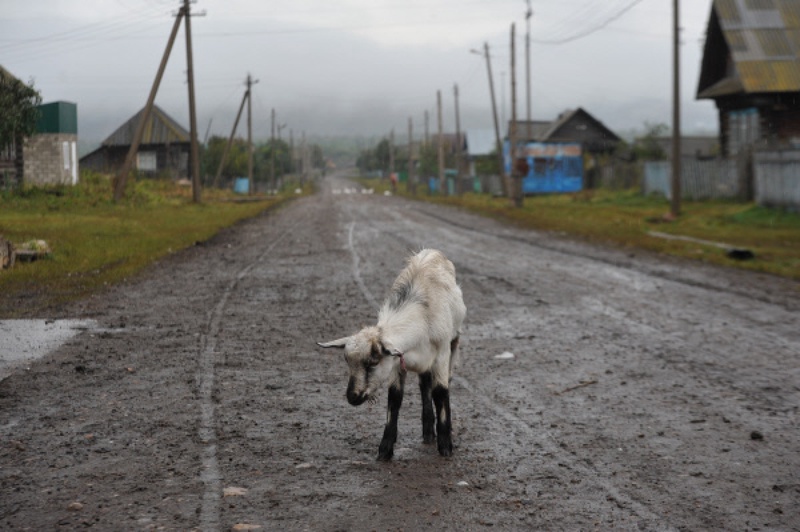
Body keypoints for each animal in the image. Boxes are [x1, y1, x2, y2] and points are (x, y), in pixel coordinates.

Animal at [318, 249, 466, 462]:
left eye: (373, 362)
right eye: (347, 362)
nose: (352, 397)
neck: (421, 320)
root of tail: (432, 251)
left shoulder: (441, 355)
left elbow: (440, 393)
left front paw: (445, 446)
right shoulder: (397, 361)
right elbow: (395, 398)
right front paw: (385, 449)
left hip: (454, 342)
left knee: (442, 383)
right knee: (424, 385)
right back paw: (428, 432)